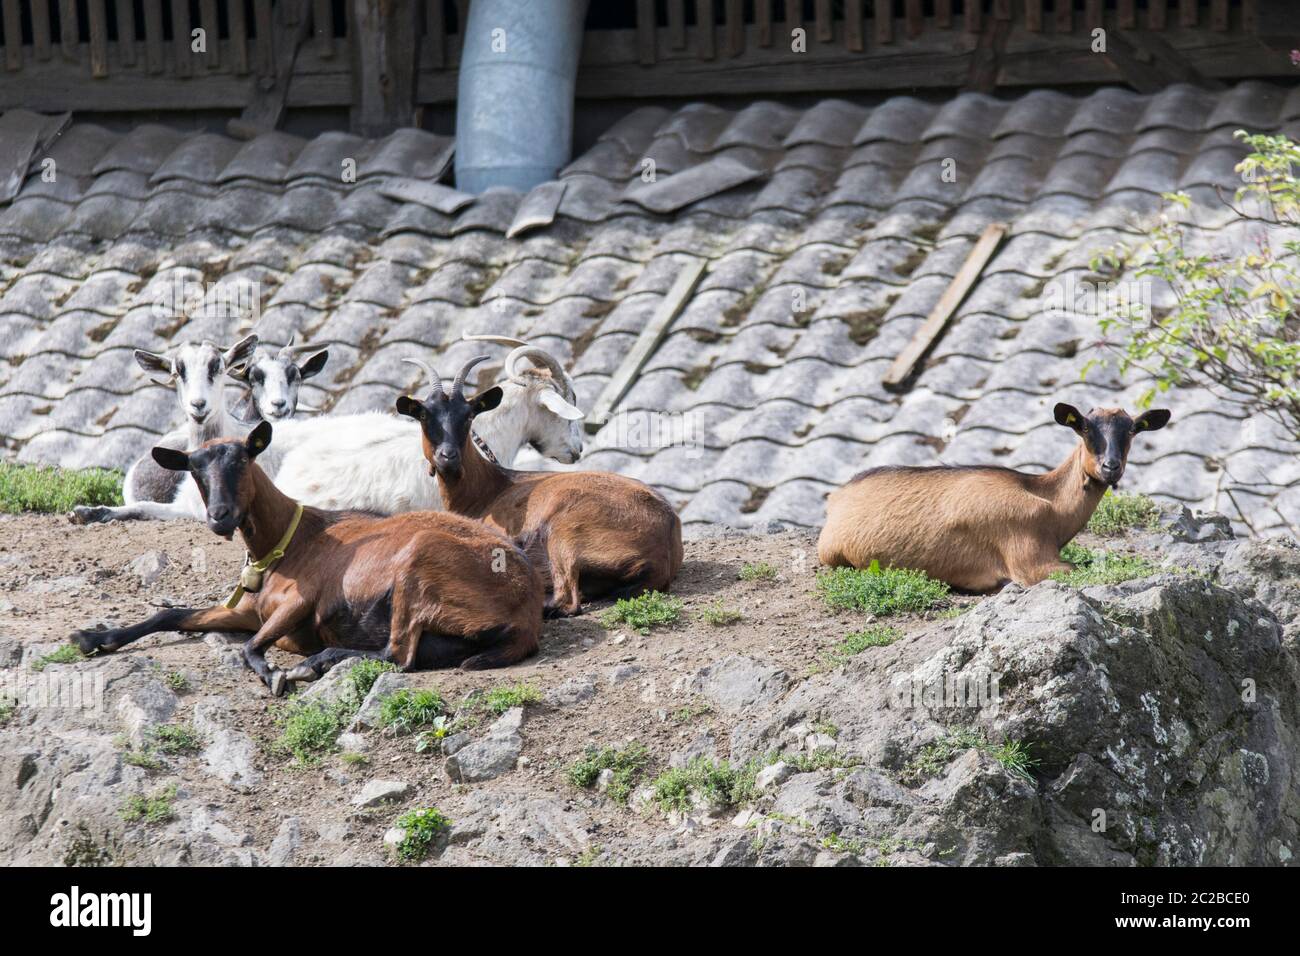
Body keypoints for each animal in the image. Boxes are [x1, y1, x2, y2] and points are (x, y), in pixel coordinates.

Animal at [71, 421, 543, 697]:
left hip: (418, 563)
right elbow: (170, 615)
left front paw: (274, 674)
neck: (286, 543)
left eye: (243, 460)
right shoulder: (246, 611)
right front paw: (94, 637)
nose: (220, 516)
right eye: (195, 470)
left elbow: (251, 648)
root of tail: (526, 610)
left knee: (397, 655)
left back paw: (315, 663)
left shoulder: (301, 601)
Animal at [395, 356, 686, 616]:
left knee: (568, 600)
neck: (487, 489)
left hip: (565, 533)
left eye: (468, 416)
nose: (448, 456)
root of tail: (664, 546)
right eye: (423, 415)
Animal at [816, 403, 1175, 595]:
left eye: (1132, 430)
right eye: (1085, 429)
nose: (1110, 467)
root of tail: (838, 497)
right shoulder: (1030, 562)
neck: (1050, 504)